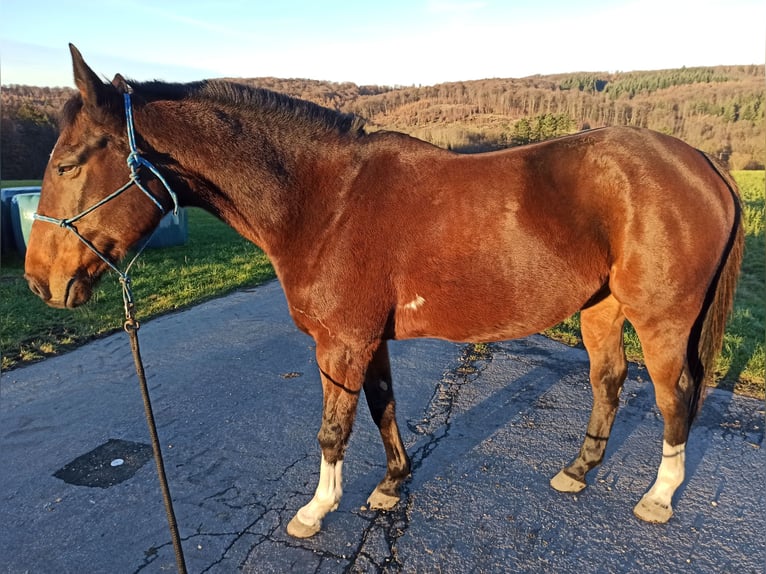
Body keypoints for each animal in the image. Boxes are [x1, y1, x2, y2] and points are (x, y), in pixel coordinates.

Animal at [24, 46, 744, 540]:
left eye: (69, 164)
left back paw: (659, 496)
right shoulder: (368, 339)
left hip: (662, 319)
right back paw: (578, 470)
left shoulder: (341, 342)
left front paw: (316, 510)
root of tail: (703, 164)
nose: (39, 281)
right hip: (601, 309)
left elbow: (332, 428)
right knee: (609, 380)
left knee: (673, 395)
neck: (325, 200)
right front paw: (392, 485)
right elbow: (382, 409)